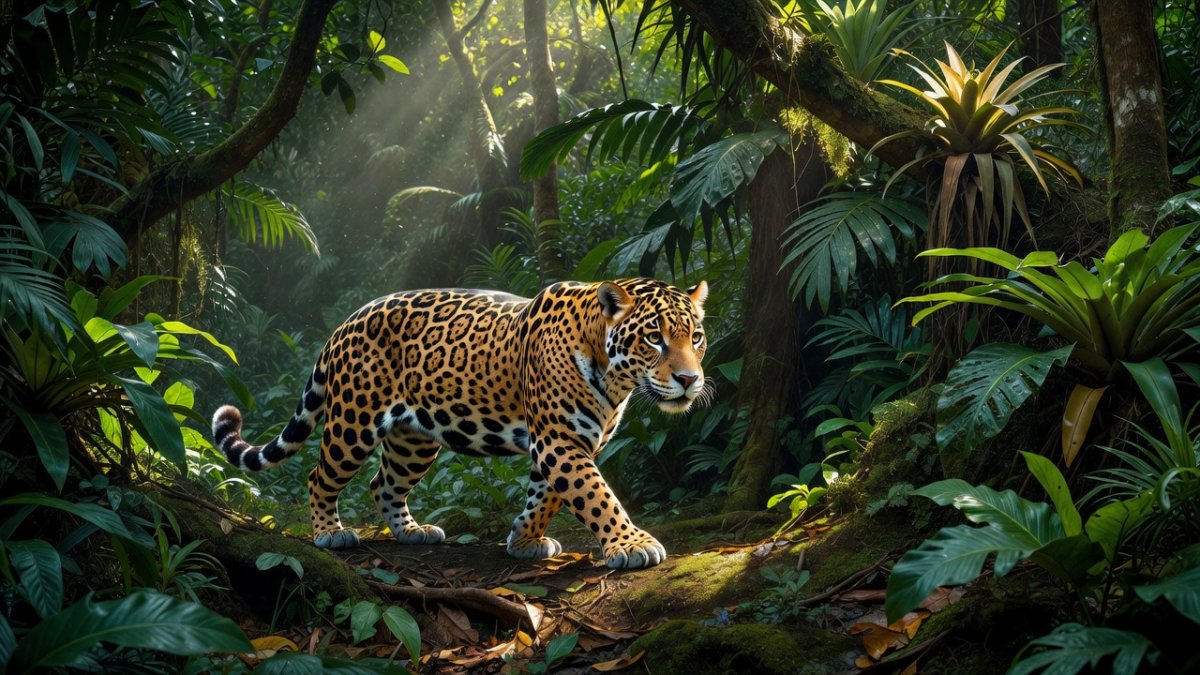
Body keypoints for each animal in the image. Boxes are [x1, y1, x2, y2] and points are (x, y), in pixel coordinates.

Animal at [211, 278, 709, 569]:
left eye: (697, 337)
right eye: (654, 338)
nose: (689, 380)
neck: (613, 372)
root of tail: (345, 322)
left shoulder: (568, 443)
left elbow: (546, 497)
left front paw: (523, 539)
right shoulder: (559, 441)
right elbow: (596, 496)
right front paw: (632, 544)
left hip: (413, 440)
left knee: (382, 483)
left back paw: (412, 532)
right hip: (354, 421)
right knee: (320, 475)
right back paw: (330, 534)